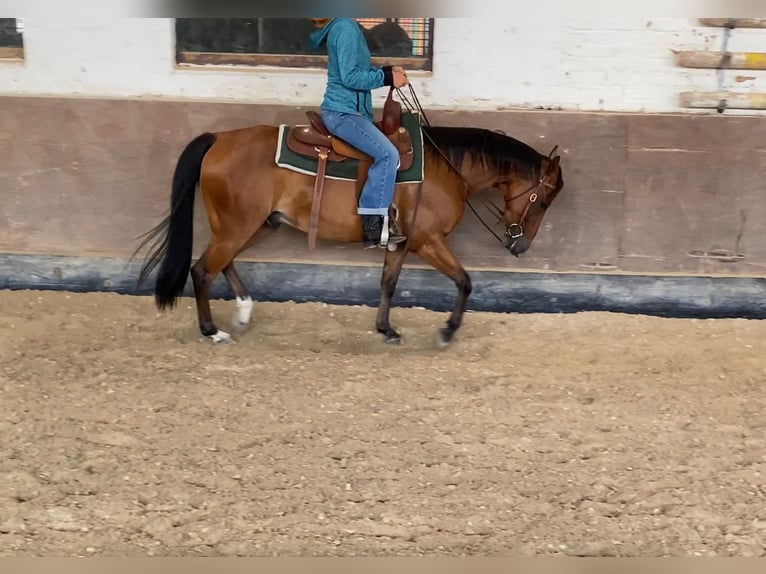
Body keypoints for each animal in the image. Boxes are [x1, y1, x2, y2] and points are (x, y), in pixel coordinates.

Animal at [134, 111, 564, 347]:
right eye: (543, 201)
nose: (521, 247)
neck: (446, 167)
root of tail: (219, 138)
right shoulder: (427, 241)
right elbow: (464, 281)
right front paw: (447, 331)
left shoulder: (400, 243)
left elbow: (388, 284)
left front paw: (386, 330)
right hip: (238, 226)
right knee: (202, 270)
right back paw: (213, 331)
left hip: (255, 225)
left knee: (222, 263)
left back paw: (242, 313)